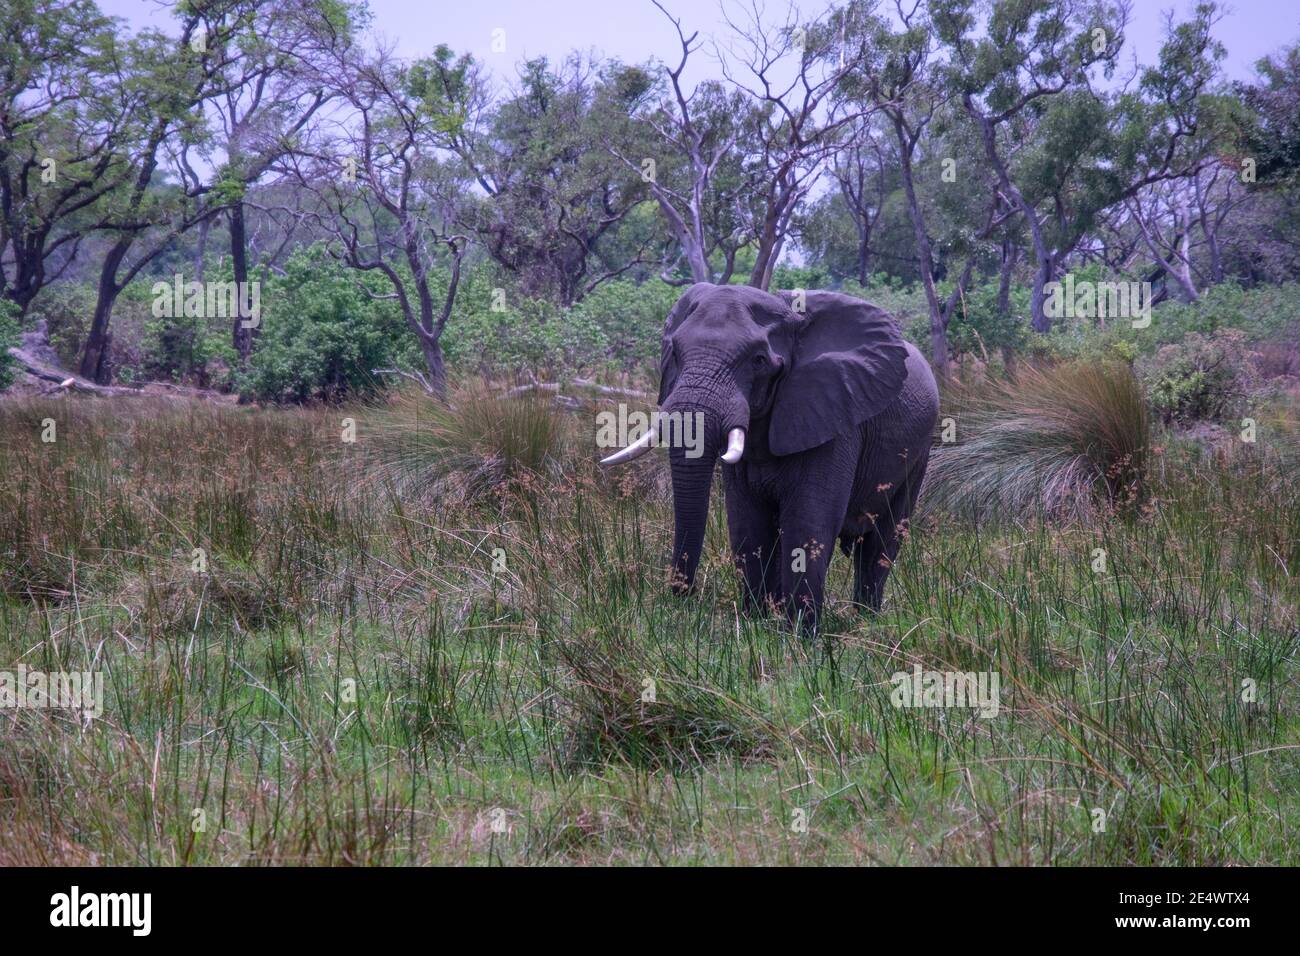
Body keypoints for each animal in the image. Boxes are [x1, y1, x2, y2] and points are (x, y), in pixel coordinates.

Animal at [603, 280, 941, 632]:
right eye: (676, 353)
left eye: (759, 360)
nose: (685, 594)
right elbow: (747, 523)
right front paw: (757, 623)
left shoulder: (833, 414)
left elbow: (808, 522)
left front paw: (800, 635)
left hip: (920, 451)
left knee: (883, 541)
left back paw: (866, 622)